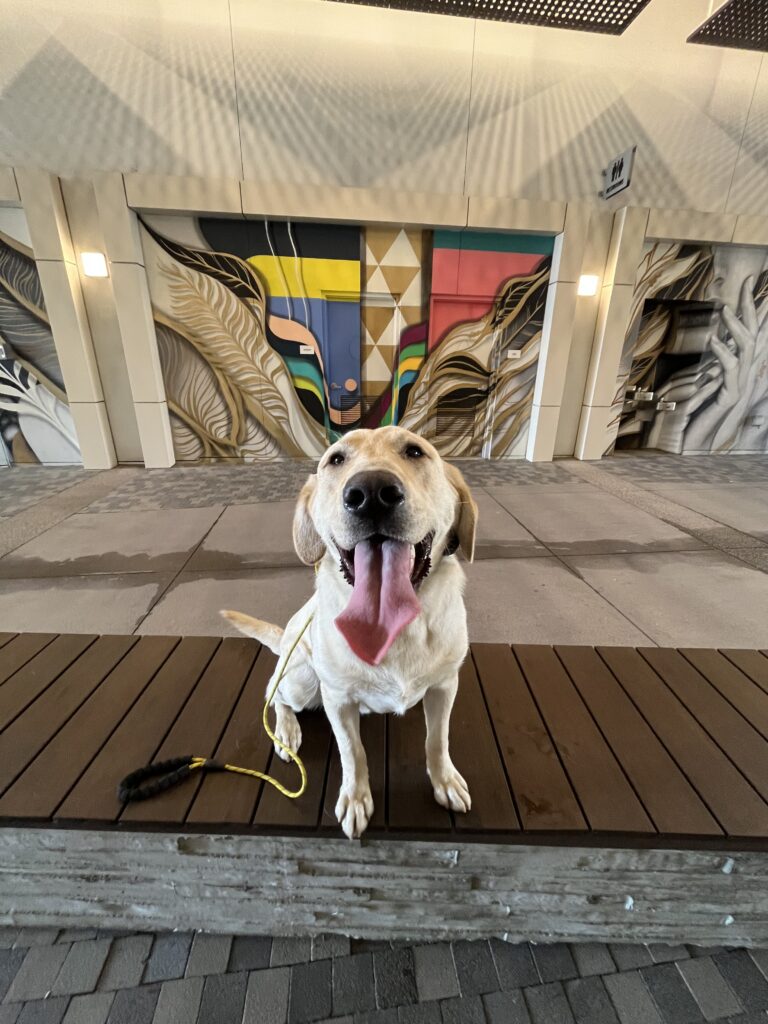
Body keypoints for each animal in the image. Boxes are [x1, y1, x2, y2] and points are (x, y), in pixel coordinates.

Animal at [222, 426, 478, 839]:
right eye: (336, 459)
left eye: (414, 451)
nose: (371, 493)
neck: (393, 633)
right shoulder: (338, 700)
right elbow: (352, 753)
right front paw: (356, 799)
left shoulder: (444, 686)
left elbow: (437, 740)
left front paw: (445, 781)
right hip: (303, 681)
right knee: (274, 691)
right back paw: (287, 731)